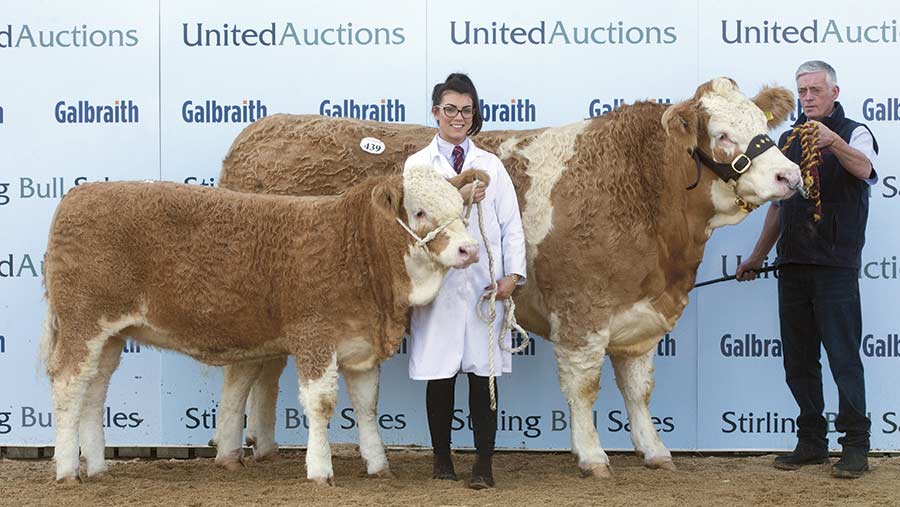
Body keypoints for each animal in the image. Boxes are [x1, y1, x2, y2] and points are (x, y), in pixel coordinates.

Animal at [39, 167, 488, 484]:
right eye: (420, 211)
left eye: (461, 209)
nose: (469, 249)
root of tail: (78, 194)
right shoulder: (314, 336)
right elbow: (321, 403)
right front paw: (320, 470)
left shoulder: (360, 344)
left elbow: (366, 405)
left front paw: (377, 465)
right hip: (83, 322)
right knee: (68, 384)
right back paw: (67, 470)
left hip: (111, 335)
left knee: (94, 390)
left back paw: (98, 467)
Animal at [216, 78, 800, 476]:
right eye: (722, 134)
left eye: (762, 125)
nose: (789, 175)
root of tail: (260, 131)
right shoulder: (583, 312)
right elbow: (584, 387)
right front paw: (593, 455)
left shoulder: (640, 317)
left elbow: (639, 388)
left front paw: (654, 450)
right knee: (242, 373)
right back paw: (228, 450)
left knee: (265, 371)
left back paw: (263, 445)